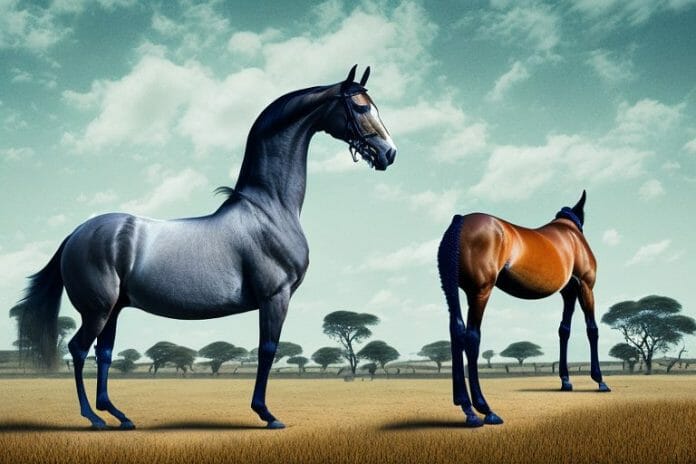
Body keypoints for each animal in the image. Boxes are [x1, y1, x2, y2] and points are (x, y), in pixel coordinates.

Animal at [15, 65, 396, 430]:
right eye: (360, 107)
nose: (389, 153)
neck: (269, 210)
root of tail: (75, 234)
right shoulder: (275, 297)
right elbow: (267, 351)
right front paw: (266, 414)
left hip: (113, 310)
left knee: (104, 353)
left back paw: (118, 416)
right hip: (97, 310)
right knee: (79, 350)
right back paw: (93, 418)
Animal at [437, 191, 610, 427]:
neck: (571, 234)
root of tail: (460, 221)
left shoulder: (568, 292)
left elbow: (564, 330)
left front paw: (566, 381)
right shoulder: (585, 286)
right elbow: (592, 329)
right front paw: (600, 380)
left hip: (452, 289)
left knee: (456, 332)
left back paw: (467, 409)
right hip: (480, 291)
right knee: (472, 337)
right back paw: (485, 409)